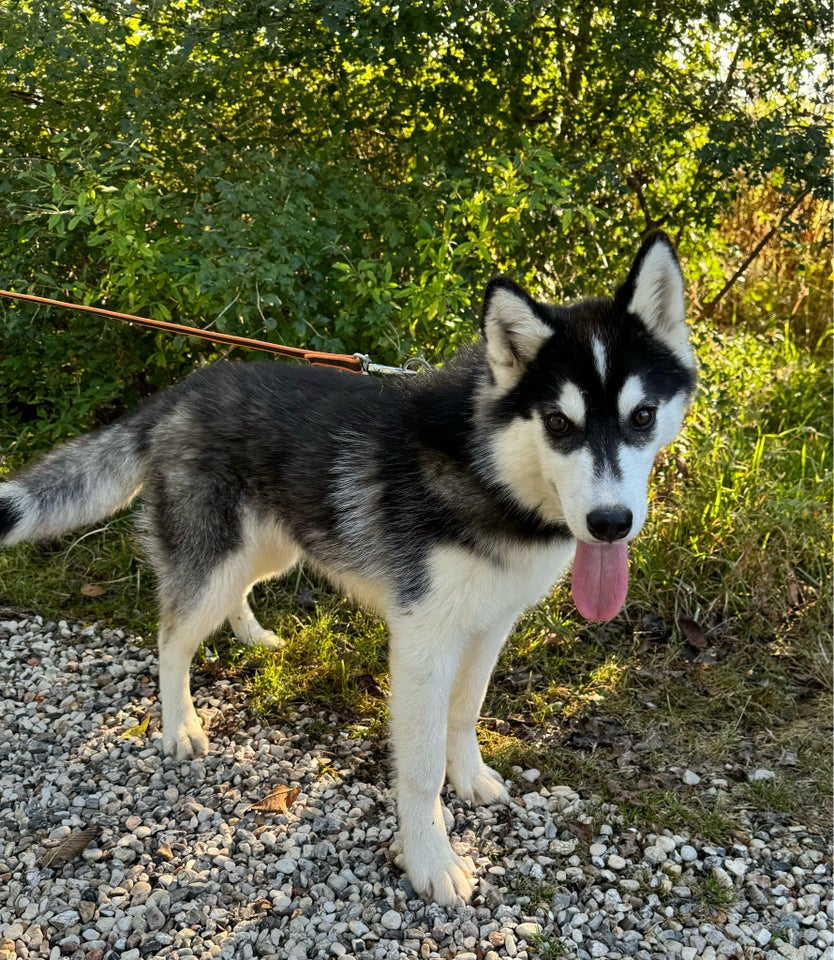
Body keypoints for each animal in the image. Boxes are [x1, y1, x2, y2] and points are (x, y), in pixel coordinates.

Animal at [0, 231, 696, 900]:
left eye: (641, 416)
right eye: (558, 422)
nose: (610, 523)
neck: (488, 470)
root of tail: (184, 390)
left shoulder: (490, 624)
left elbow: (466, 710)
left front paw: (468, 777)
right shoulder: (423, 640)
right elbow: (419, 769)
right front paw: (430, 859)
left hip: (273, 549)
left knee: (232, 597)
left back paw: (252, 635)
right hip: (215, 562)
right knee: (172, 639)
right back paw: (181, 726)